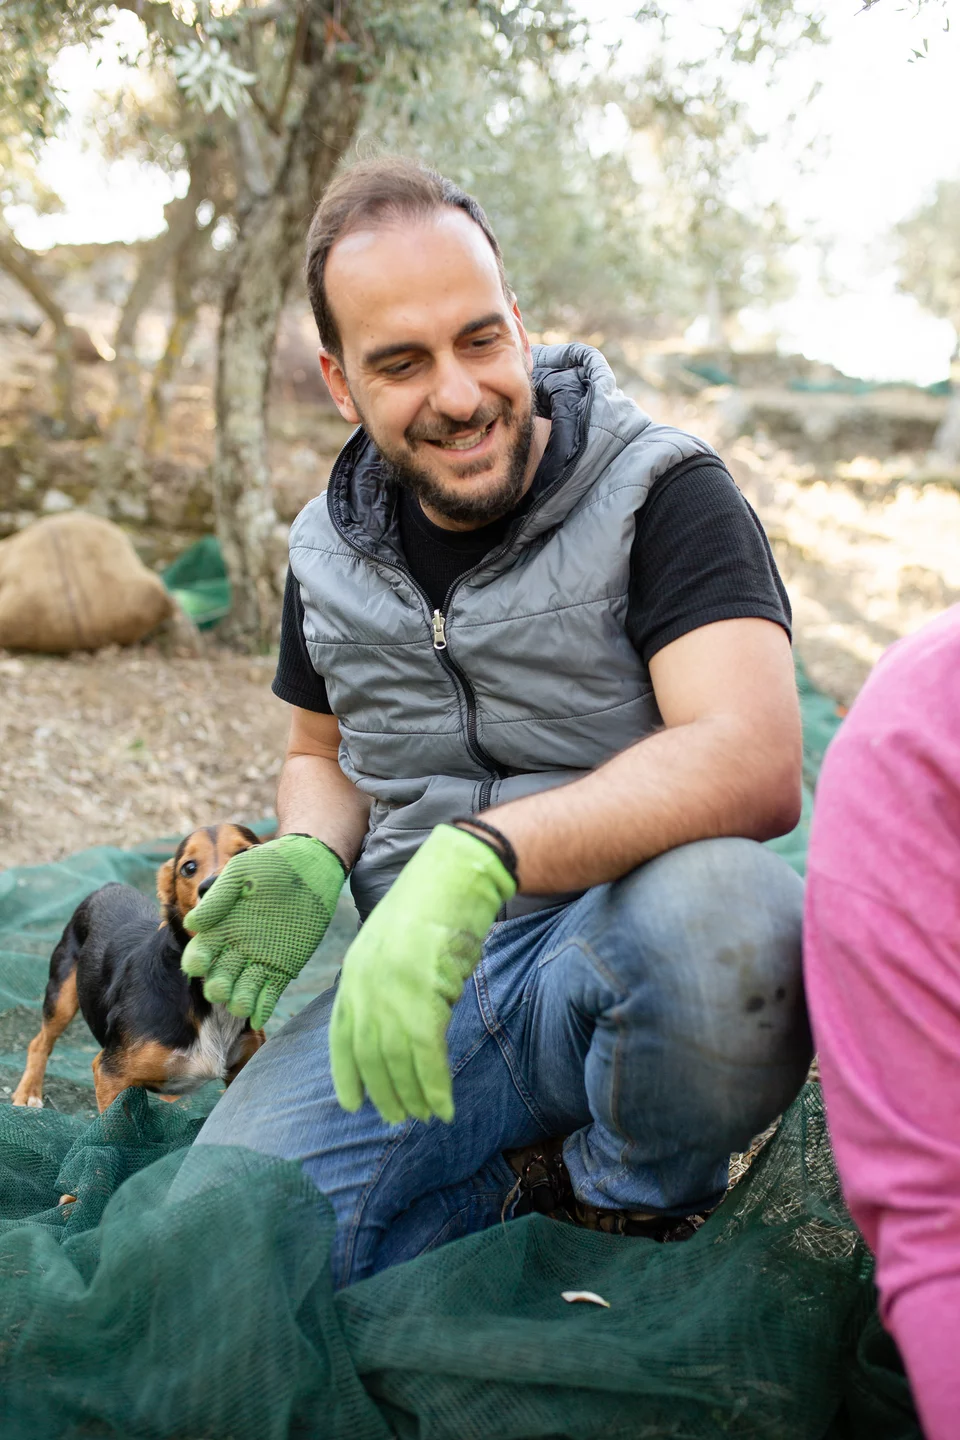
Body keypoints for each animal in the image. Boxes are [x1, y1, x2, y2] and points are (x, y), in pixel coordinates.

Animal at [12, 823, 266, 1111]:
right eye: (188, 867)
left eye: (248, 853)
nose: (219, 888)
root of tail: (110, 884)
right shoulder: (109, 1073)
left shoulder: (246, 1062)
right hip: (62, 994)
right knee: (39, 1042)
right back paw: (28, 1091)